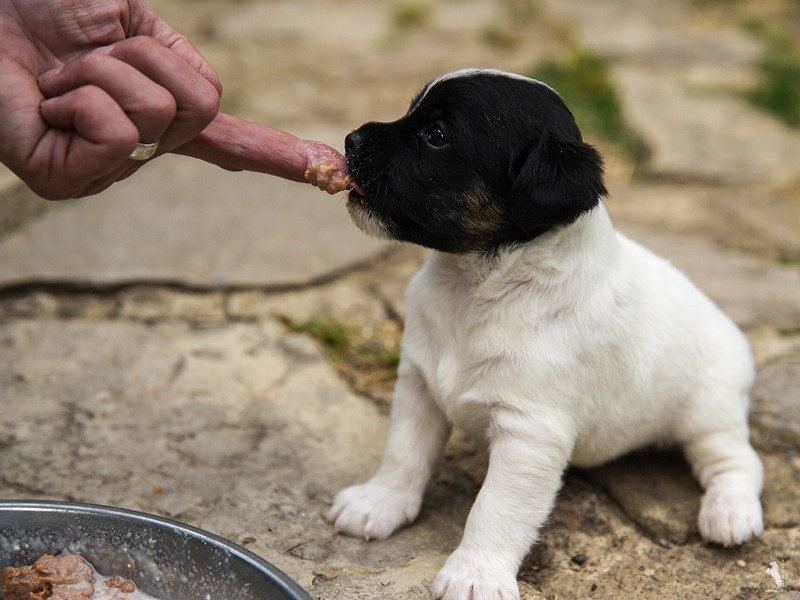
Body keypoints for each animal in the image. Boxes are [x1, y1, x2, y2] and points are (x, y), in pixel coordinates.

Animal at [328, 69, 764, 600]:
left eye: (437, 135)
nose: (351, 139)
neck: (475, 288)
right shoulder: (418, 385)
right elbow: (403, 453)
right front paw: (380, 503)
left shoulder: (529, 433)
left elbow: (495, 509)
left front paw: (475, 574)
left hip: (706, 413)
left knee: (738, 461)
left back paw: (730, 513)